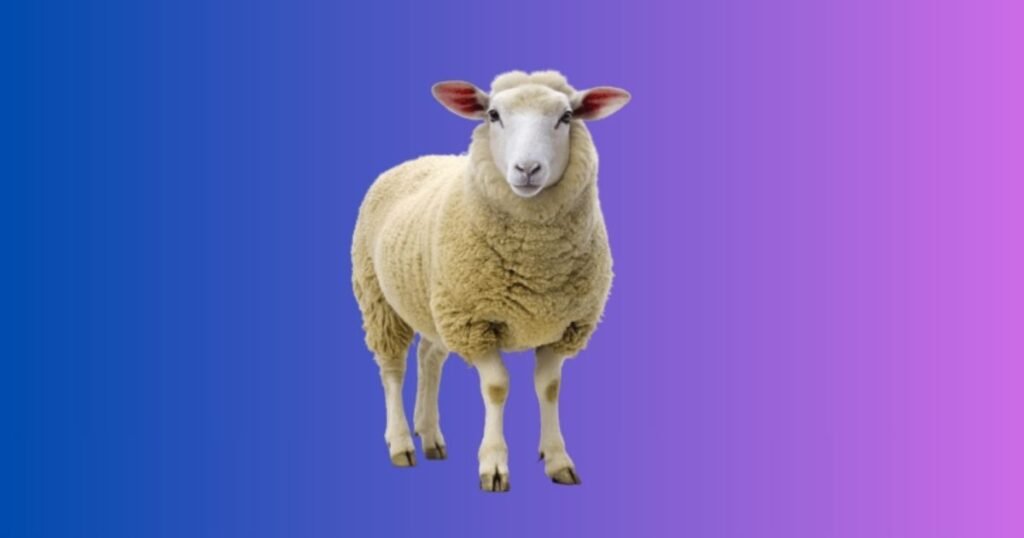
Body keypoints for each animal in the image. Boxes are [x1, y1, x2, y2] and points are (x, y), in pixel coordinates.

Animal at [351, 70, 630, 492]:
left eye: (566, 117)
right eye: (493, 115)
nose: (527, 169)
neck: (536, 266)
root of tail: (416, 160)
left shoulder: (563, 327)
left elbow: (549, 388)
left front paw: (557, 460)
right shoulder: (475, 323)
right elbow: (497, 387)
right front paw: (493, 465)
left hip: (435, 305)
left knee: (429, 358)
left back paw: (430, 435)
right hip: (379, 298)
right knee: (392, 369)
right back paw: (401, 443)